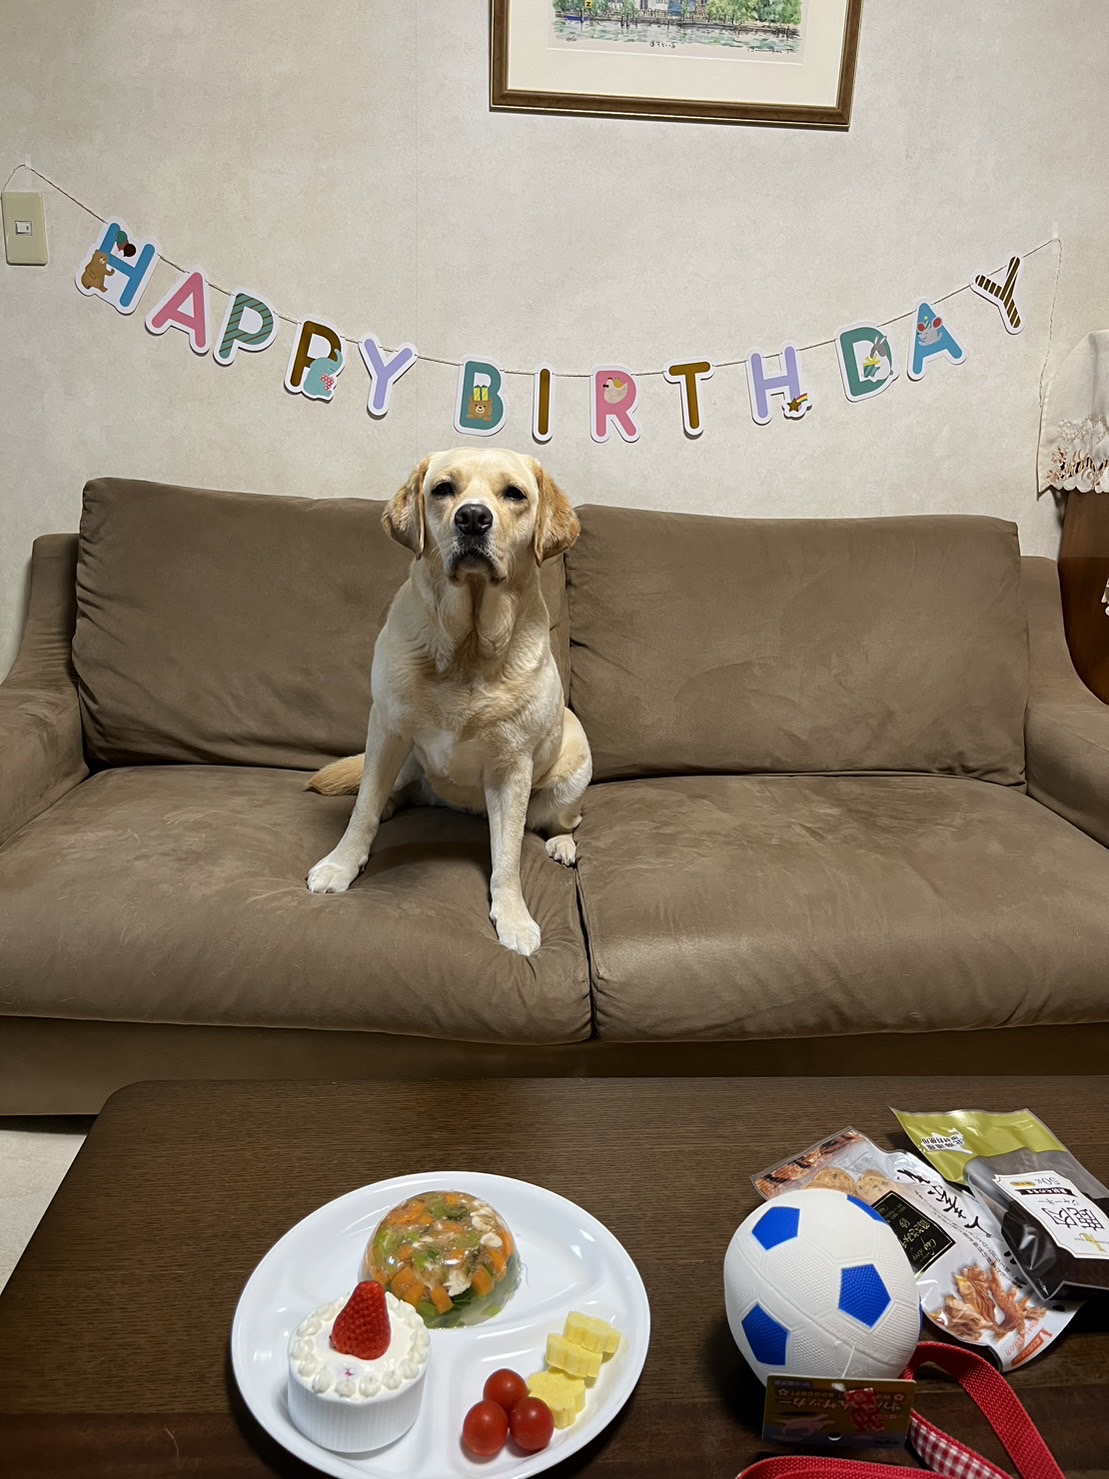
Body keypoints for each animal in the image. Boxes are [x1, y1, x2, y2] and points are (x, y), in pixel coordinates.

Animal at [306, 446, 591, 958]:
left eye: (514, 494)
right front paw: (341, 864)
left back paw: (562, 845)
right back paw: (394, 802)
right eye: (443, 489)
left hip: (573, 767)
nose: (473, 517)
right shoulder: (387, 729)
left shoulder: (512, 767)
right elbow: (362, 811)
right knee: (389, 791)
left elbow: (508, 857)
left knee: (561, 821)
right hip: (402, 761)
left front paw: (513, 917)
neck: (467, 645)